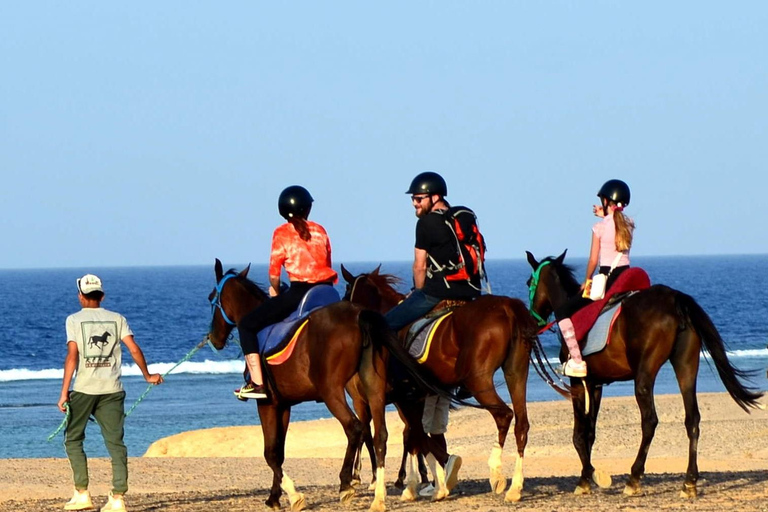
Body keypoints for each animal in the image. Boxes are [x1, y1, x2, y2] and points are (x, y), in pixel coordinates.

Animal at [206, 260, 396, 512]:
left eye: (211, 298)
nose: (213, 337)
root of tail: (358, 316)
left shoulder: (266, 404)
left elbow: (270, 453)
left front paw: (292, 495)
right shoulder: (284, 405)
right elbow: (280, 451)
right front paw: (276, 495)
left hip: (332, 393)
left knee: (354, 428)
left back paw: (346, 483)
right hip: (373, 388)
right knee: (379, 435)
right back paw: (379, 496)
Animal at [342, 266, 560, 502]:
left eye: (346, 292)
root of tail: (507, 307)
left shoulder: (404, 398)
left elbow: (416, 435)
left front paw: (428, 482)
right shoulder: (418, 396)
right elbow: (418, 436)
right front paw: (433, 481)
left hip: (478, 380)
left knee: (503, 415)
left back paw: (495, 472)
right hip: (516, 372)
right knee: (521, 424)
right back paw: (515, 487)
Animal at [524, 250, 764, 498]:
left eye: (528, 282)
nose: (533, 320)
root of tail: (674, 299)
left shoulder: (578, 382)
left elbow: (579, 434)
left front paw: (587, 478)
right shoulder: (596, 384)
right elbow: (590, 432)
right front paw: (590, 475)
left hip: (644, 375)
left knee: (649, 421)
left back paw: (634, 478)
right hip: (686, 366)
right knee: (692, 418)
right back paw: (689, 482)